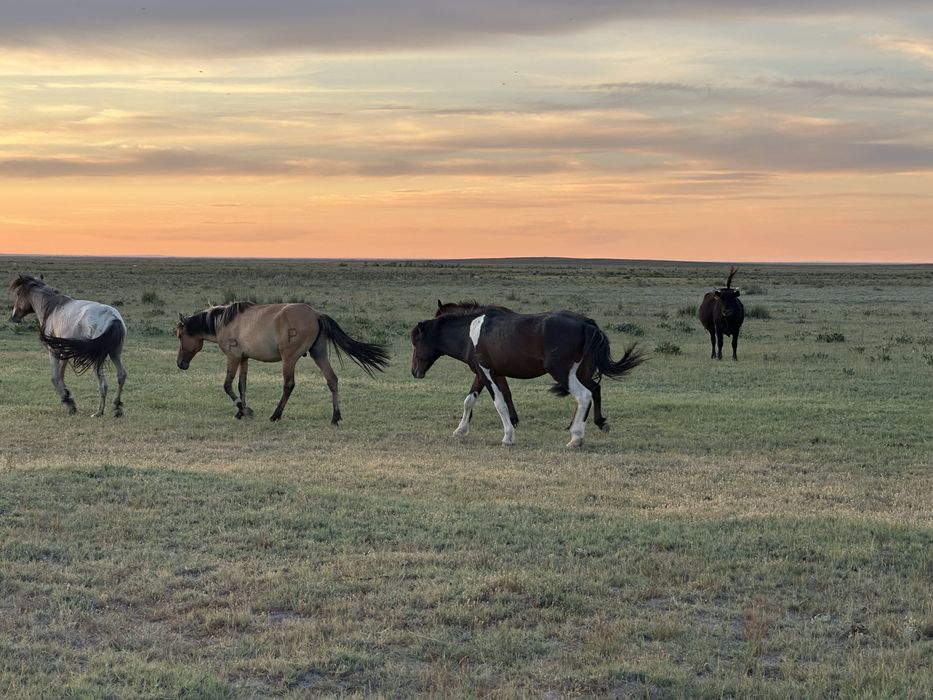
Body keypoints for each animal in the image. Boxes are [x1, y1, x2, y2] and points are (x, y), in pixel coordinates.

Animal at [8, 274, 128, 417]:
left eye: (18, 293)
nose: (14, 316)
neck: (52, 308)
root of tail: (113, 317)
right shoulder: (65, 352)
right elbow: (61, 376)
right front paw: (68, 399)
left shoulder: (54, 351)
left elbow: (55, 378)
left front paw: (68, 402)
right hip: (115, 353)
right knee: (121, 376)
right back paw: (117, 407)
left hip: (97, 359)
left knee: (103, 384)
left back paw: (99, 412)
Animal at [176, 301, 389, 422]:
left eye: (179, 335)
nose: (180, 363)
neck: (225, 322)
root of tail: (316, 315)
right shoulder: (244, 358)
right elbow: (242, 385)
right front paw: (241, 411)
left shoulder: (233, 357)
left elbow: (228, 385)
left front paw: (245, 410)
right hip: (318, 353)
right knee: (332, 380)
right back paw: (335, 417)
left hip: (289, 359)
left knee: (289, 385)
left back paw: (276, 415)